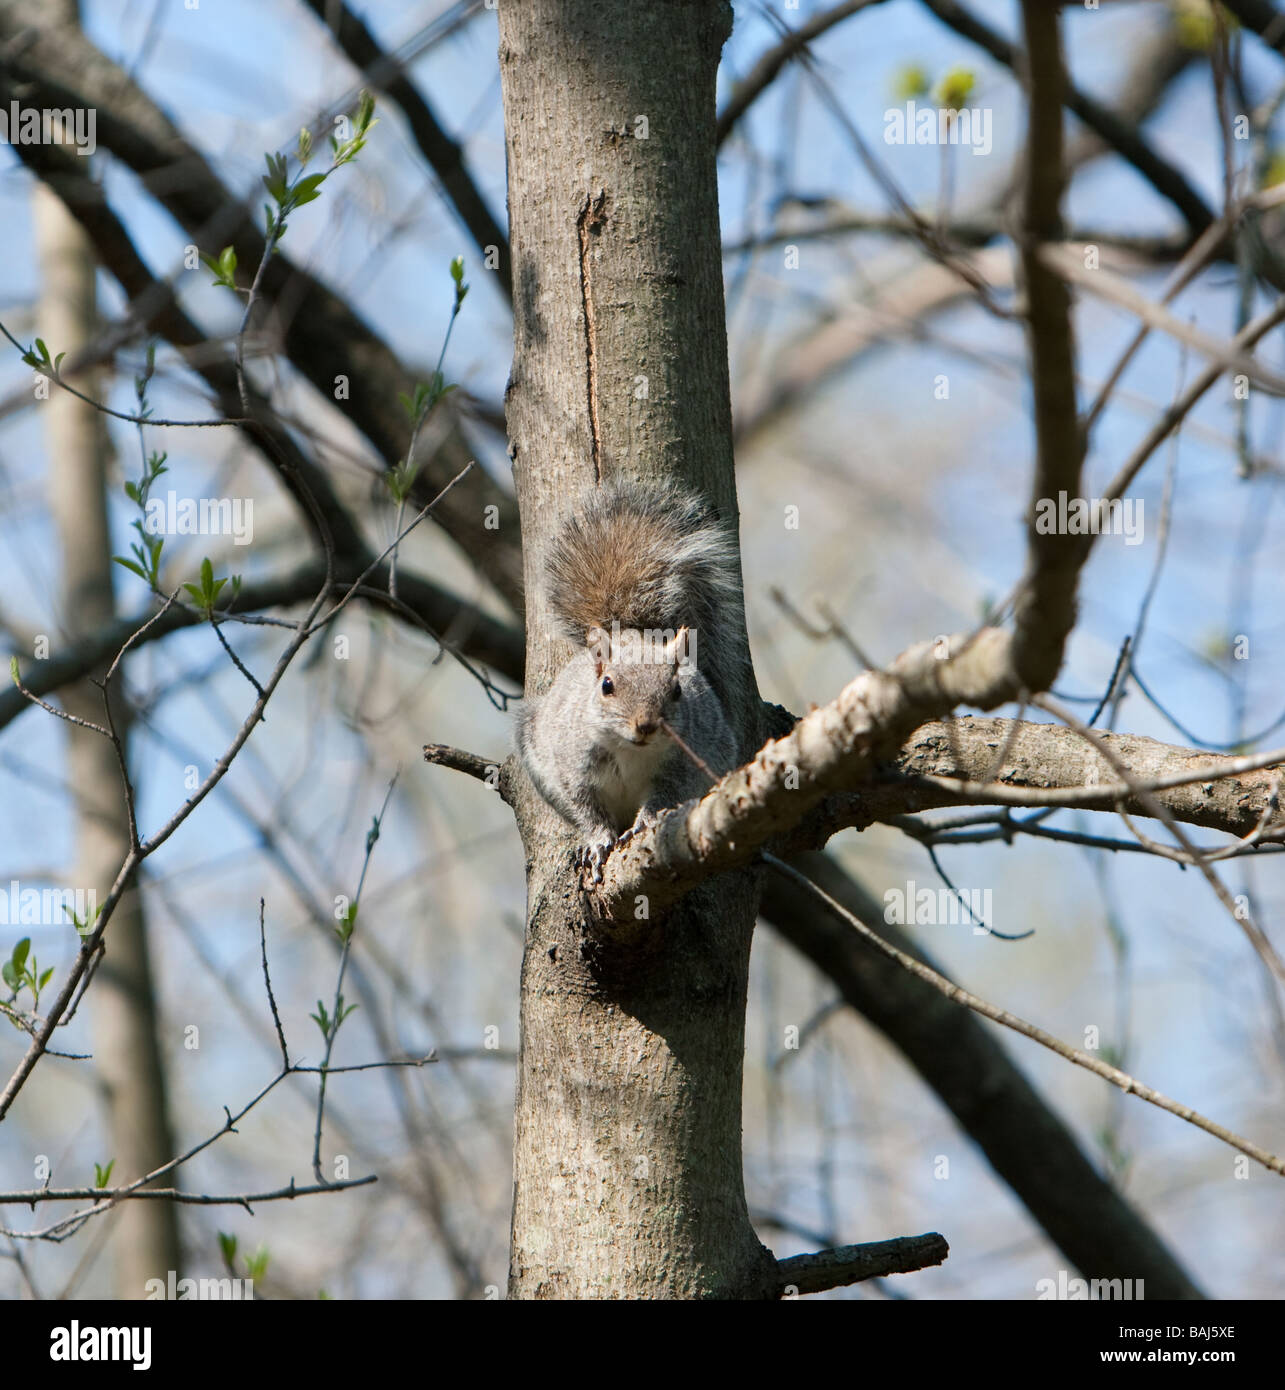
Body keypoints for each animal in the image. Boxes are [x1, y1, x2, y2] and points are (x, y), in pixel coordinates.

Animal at [517, 480, 745, 878]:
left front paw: (644, 823)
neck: (628, 749)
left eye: (677, 690)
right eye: (606, 686)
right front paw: (597, 840)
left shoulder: (682, 765)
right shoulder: (572, 765)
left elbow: (663, 798)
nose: (646, 725)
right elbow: (586, 807)